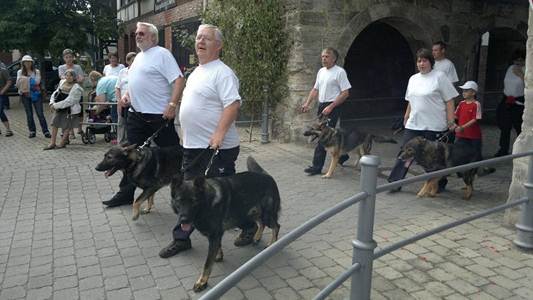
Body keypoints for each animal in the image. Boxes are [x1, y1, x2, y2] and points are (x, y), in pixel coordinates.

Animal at [170, 156, 280, 292]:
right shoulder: (216, 235)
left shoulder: (215, 235)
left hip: (265, 214)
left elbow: (207, 264)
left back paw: (272, 244)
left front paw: (202, 282)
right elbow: (218, 248)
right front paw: (218, 256)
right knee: (261, 224)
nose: (184, 220)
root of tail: (267, 175)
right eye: (179, 201)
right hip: (252, 213)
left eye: (193, 202)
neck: (208, 202)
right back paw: (256, 237)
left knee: (276, 226)